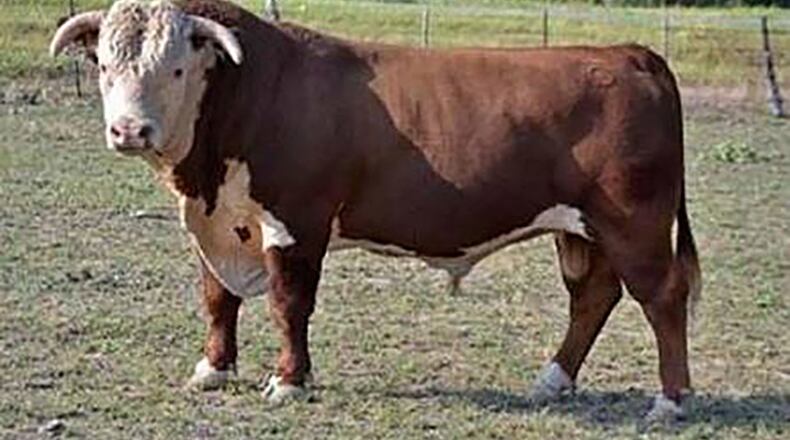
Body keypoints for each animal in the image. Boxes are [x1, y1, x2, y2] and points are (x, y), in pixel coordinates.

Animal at [51, 0, 701, 422]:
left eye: (177, 68)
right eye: (104, 66)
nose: (128, 130)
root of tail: (629, 53)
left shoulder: (296, 221)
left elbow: (289, 305)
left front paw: (289, 380)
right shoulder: (215, 228)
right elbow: (218, 298)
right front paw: (214, 369)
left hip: (634, 221)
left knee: (661, 297)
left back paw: (670, 399)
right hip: (580, 228)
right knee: (592, 297)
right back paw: (552, 380)